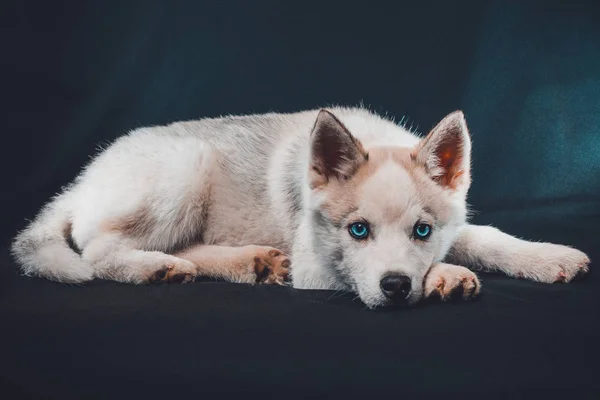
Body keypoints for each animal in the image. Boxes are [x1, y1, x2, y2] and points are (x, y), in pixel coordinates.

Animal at [10, 108, 592, 308]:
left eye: (422, 231)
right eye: (357, 230)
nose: (395, 288)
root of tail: (81, 179)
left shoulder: (454, 223)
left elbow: (488, 237)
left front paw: (548, 257)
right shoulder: (317, 265)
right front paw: (445, 276)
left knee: (191, 247)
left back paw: (250, 262)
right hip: (183, 171)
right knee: (97, 251)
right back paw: (155, 268)